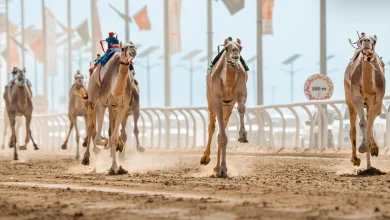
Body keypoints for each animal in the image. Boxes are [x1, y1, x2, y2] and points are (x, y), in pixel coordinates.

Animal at [80, 40, 136, 173]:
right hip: (92, 95)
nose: (133, 50)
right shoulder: (102, 103)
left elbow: (114, 137)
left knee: (111, 126)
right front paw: (104, 143)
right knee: (91, 127)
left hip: (113, 107)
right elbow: (98, 138)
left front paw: (114, 167)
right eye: (123, 48)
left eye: (133, 45)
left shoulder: (123, 107)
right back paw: (86, 158)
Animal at [200, 37, 248, 177]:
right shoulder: (216, 98)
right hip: (210, 100)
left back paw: (216, 168)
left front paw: (243, 136)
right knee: (212, 127)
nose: (235, 54)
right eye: (227, 48)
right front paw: (222, 169)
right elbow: (221, 135)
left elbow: (242, 108)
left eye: (240, 47)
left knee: (222, 128)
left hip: (228, 106)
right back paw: (206, 159)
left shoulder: (241, 91)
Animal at [344, 33, 384, 169]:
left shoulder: (377, 101)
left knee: (369, 119)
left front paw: (372, 148)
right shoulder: (357, 97)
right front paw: (363, 147)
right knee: (353, 129)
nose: (366, 41)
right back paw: (356, 159)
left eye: (375, 40)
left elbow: (370, 123)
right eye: (361, 40)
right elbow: (362, 123)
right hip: (349, 99)